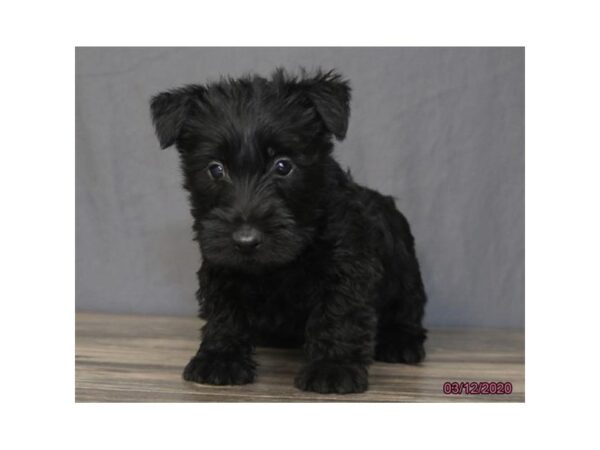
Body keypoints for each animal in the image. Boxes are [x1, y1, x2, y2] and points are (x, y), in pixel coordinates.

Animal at [152, 67, 428, 394]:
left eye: (283, 165)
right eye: (216, 168)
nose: (246, 241)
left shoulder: (346, 265)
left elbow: (338, 311)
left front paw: (331, 367)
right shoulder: (222, 262)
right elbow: (224, 310)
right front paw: (220, 358)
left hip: (404, 269)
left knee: (408, 307)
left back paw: (400, 340)